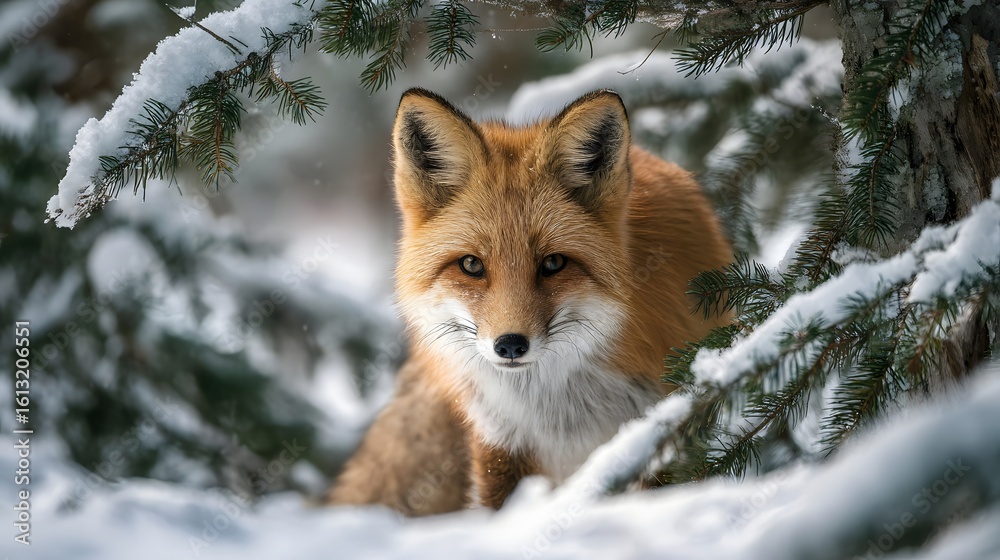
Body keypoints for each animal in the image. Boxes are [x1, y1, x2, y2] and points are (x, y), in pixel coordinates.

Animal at [328, 88, 732, 514]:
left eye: (553, 263)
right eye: (471, 264)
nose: (509, 345)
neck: (557, 409)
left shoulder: (658, 430)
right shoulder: (500, 441)